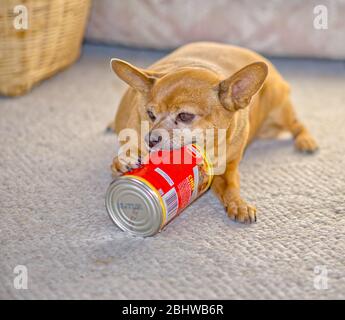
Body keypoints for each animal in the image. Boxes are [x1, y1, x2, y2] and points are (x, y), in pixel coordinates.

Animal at [109, 42, 316, 222]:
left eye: (185, 116)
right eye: (150, 114)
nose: (150, 140)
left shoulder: (227, 170)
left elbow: (231, 187)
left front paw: (238, 203)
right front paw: (125, 158)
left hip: (280, 112)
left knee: (298, 125)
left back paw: (306, 141)